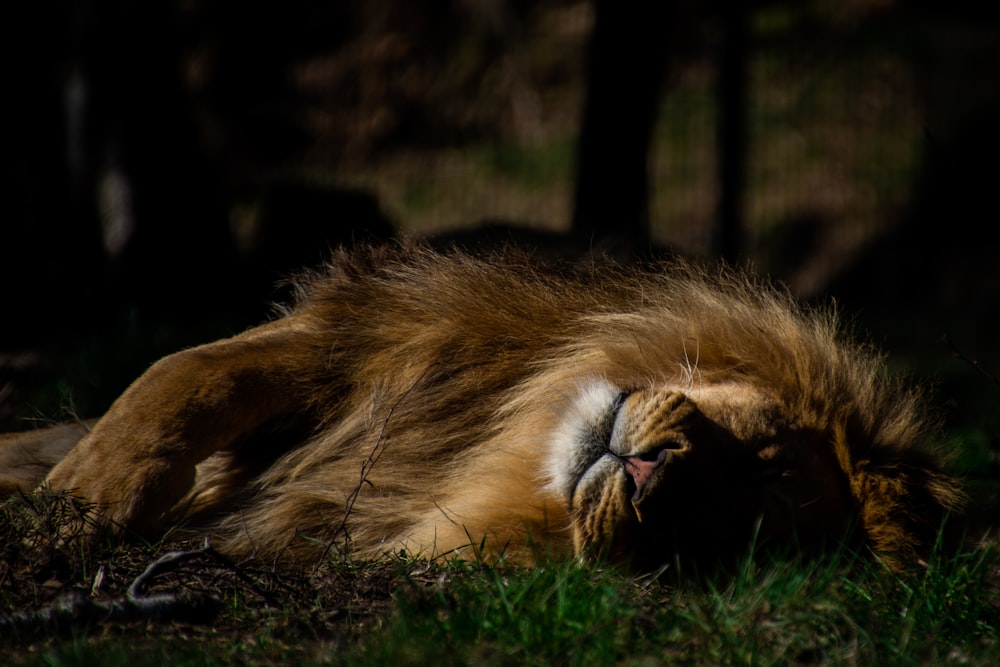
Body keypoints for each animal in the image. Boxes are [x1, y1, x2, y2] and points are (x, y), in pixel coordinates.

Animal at [0, 243, 968, 572]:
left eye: (717, 540)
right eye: (758, 462)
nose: (651, 476)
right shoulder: (354, 335)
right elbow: (182, 376)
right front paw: (80, 500)